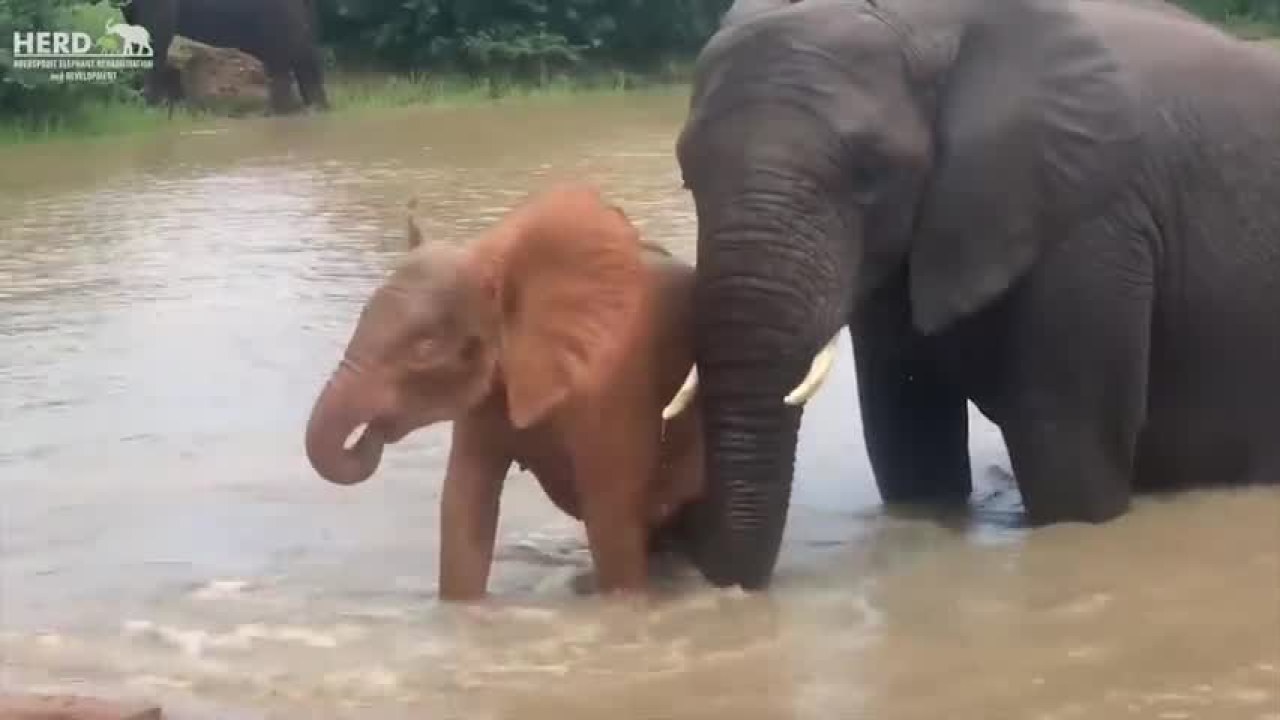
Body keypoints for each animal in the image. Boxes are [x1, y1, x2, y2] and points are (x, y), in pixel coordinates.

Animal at [668, 0, 1280, 589]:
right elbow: (908, 442)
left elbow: (1069, 460)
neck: (929, 23)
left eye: (870, 173)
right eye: (687, 175)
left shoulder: (1094, 226)